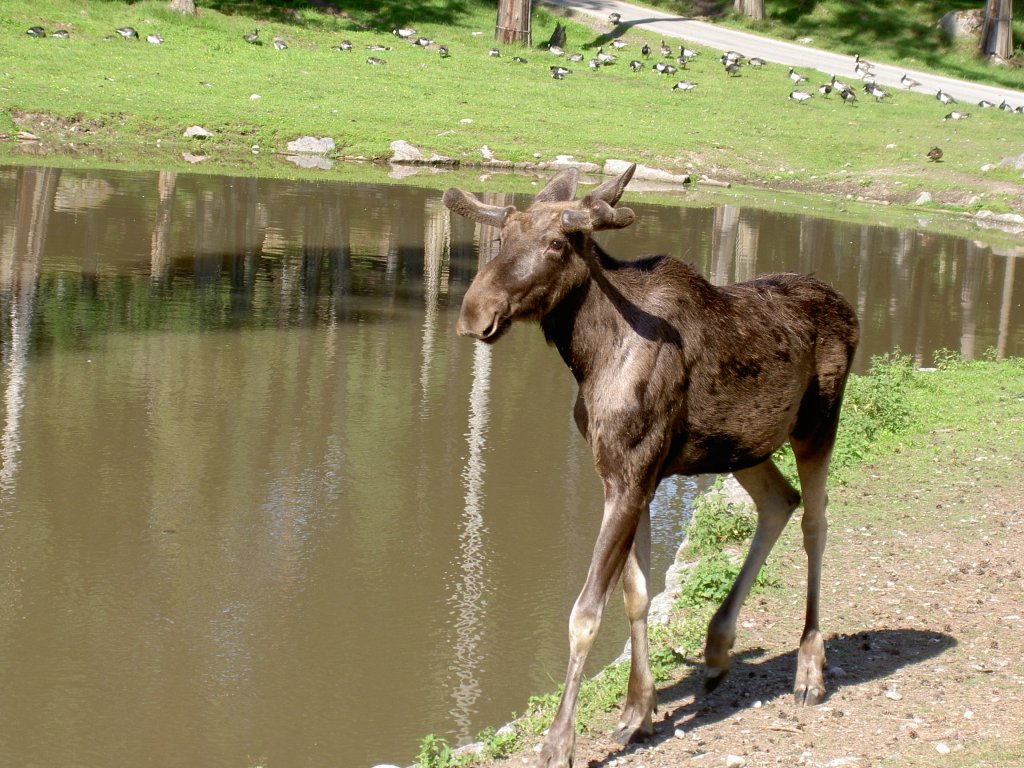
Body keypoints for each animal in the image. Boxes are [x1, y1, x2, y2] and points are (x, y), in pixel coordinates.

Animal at [440, 163, 856, 768]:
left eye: (557, 242)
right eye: (502, 237)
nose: (475, 313)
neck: (588, 355)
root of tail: (851, 309)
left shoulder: (631, 476)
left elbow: (586, 614)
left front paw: (559, 742)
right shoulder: (629, 476)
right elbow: (637, 594)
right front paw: (639, 711)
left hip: (817, 426)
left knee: (816, 523)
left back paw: (809, 669)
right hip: (743, 447)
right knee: (781, 501)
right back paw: (717, 648)